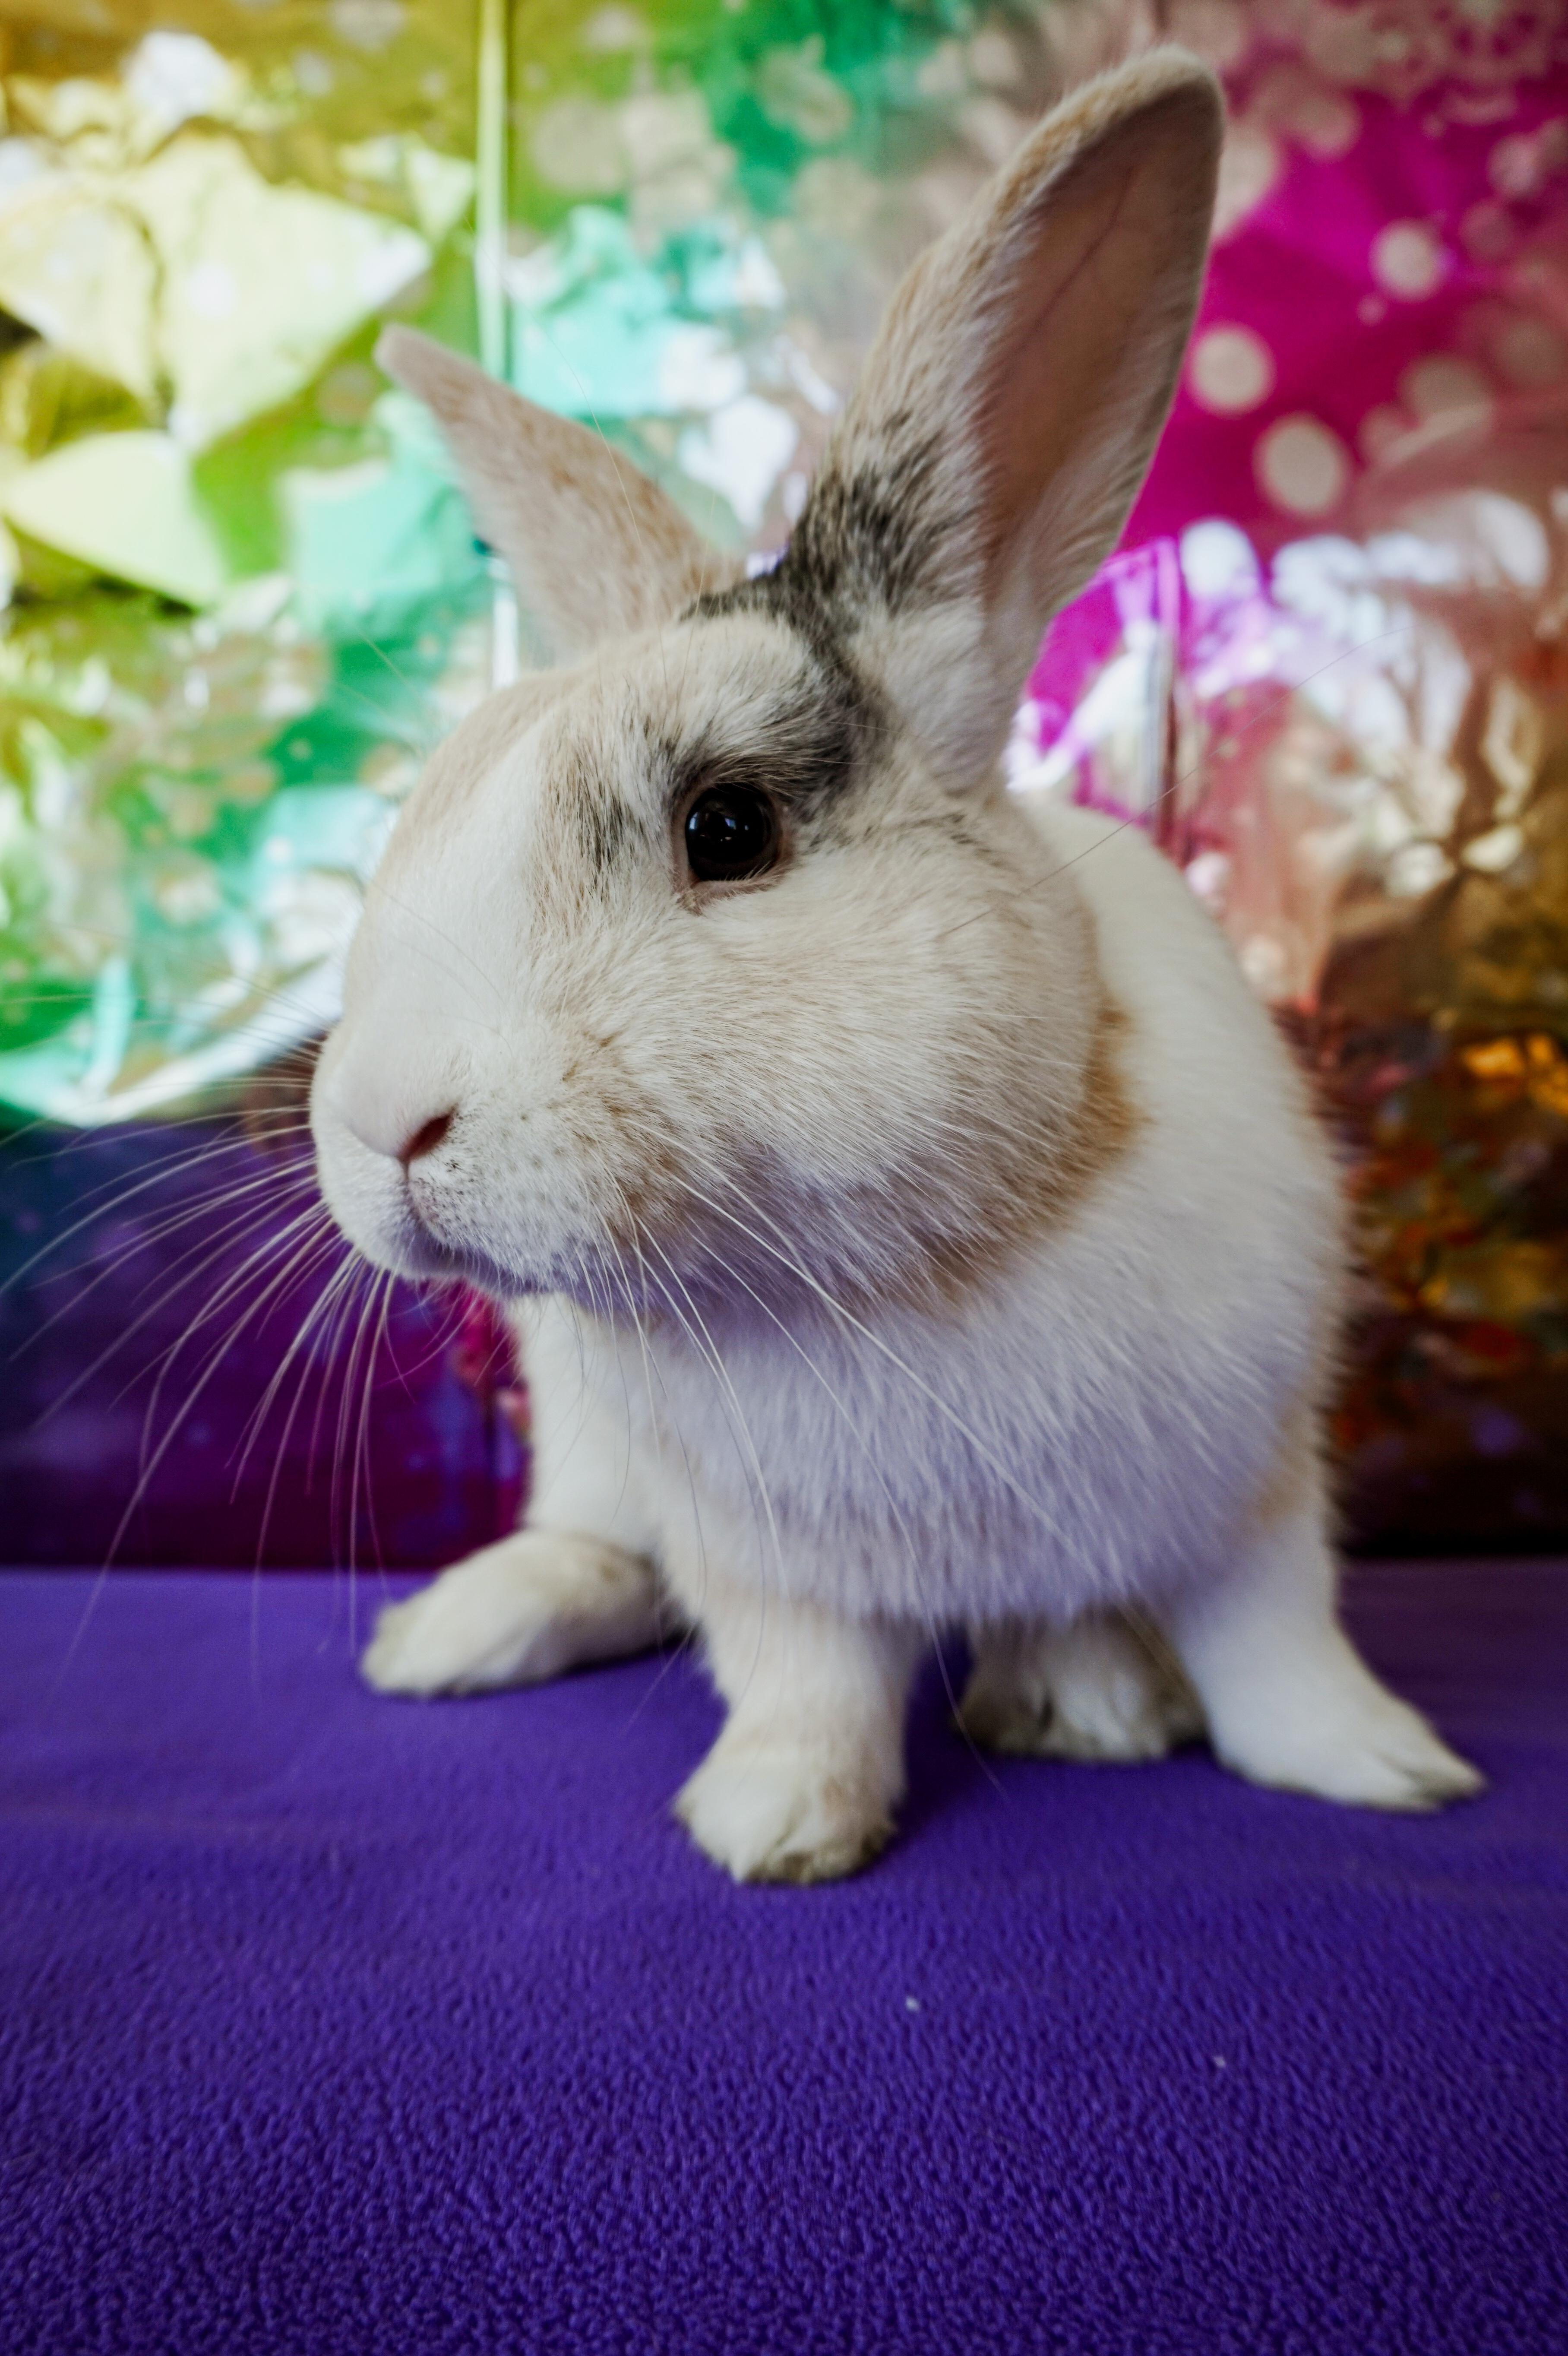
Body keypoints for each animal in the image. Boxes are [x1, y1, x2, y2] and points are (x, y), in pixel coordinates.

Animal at [310, 50, 1482, 1883]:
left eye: (728, 826)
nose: (380, 1124)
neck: (892, 1270)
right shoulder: (765, 1567)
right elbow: (804, 1689)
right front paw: (774, 1828)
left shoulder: (1257, 1483)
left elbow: (1277, 1646)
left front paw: (1379, 1769)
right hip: (583, 1452)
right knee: (596, 1549)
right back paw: (450, 1637)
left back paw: (1087, 1693)